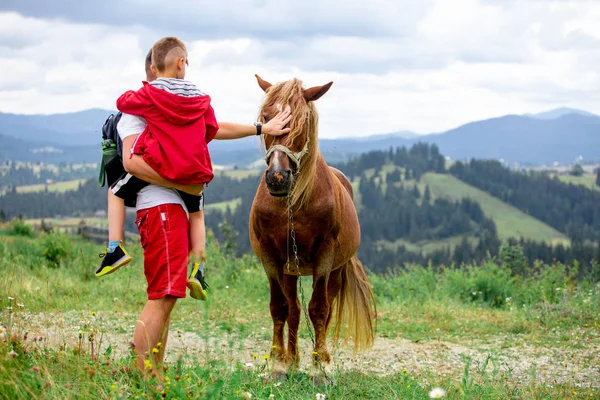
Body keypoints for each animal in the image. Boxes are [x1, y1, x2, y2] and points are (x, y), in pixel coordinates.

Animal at [248, 73, 376, 380]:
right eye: (266, 117)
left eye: (302, 121)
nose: (277, 177)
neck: (292, 205)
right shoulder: (270, 257)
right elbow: (280, 308)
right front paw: (278, 362)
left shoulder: (324, 257)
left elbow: (318, 309)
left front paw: (320, 367)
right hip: (290, 269)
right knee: (294, 309)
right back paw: (292, 359)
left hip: (336, 271)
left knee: (325, 309)